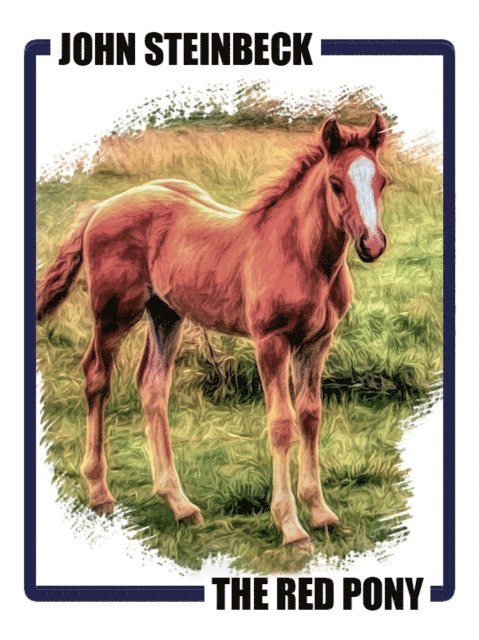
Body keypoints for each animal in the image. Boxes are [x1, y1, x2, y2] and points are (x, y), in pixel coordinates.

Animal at [36, 114, 389, 550]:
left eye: (382, 181)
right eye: (336, 183)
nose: (372, 244)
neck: (301, 254)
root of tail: (102, 205)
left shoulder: (316, 344)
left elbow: (310, 417)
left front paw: (321, 513)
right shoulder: (271, 342)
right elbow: (282, 424)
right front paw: (291, 527)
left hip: (165, 314)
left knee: (152, 384)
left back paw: (180, 504)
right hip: (113, 313)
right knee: (96, 377)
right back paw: (100, 493)